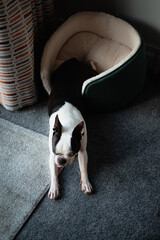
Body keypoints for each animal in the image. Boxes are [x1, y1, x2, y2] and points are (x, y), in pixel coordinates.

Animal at [40, 57, 97, 199]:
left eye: (71, 154)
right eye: (57, 153)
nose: (62, 161)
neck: (67, 122)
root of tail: (73, 60)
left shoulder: (82, 150)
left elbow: (83, 168)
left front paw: (86, 183)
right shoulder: (52, 155)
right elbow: (53, 173)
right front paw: (54, 187)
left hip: (90, 73)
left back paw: (92, 63)